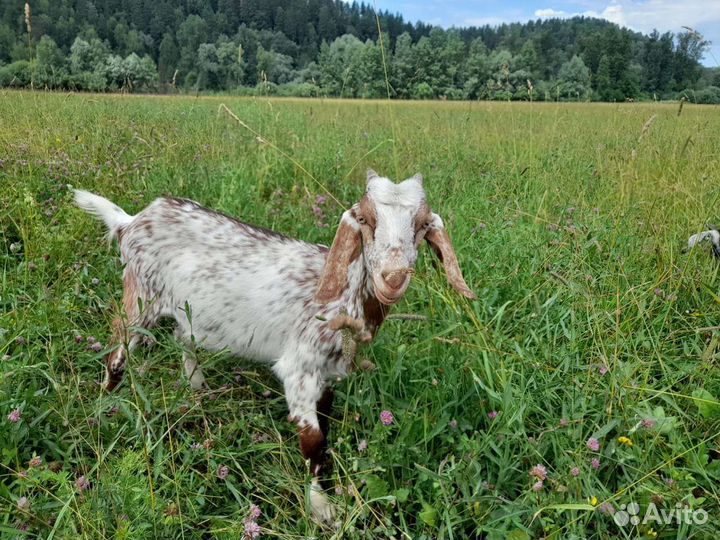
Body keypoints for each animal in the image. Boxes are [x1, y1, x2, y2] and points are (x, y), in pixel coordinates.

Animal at [74, 169, 475, 522]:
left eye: (422, 225)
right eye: (364, 219)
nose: (392, 278)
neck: (344, 293)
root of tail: (132, 221)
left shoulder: (327, 372)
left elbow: (326, 427)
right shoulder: (300, 367)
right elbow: (313, 441)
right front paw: (320, 508)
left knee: (182, 338)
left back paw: (196, 386)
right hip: (141, 297)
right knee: (118, 350)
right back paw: (104, 407)